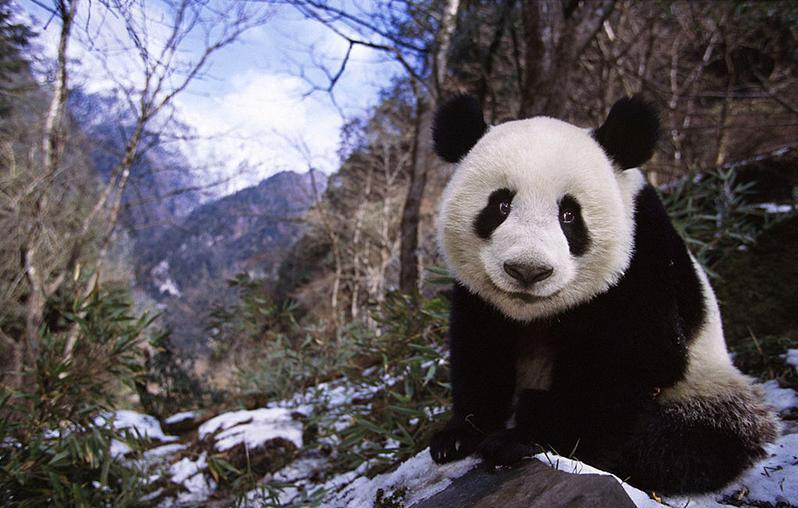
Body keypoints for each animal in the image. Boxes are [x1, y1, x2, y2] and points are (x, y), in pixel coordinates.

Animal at [428, 95, 779, 494]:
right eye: (501, 205)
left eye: (569, 214)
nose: (528, 270)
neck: (535, 312)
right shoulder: (477, 298)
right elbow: (479, 348)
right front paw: (459, 436)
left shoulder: (642, 260)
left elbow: (632, 361)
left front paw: (522, 436)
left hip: (706, 389)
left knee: (691, 442)